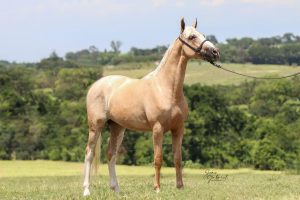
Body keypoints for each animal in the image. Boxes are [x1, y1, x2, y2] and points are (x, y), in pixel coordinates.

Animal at [83, 18, 219, 196]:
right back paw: (86, 190)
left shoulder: (179, 128)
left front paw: (180, 187)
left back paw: (116, 189)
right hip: (96, 126)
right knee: (89, 153)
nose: (215, 52)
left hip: (117, 128)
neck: (166, 88)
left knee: (111, 155)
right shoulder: (157, 129)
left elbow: (178, 158)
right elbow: (158, 159)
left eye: (202, 34)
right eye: (191, 37)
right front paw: (157, 188)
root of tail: (96, 85)